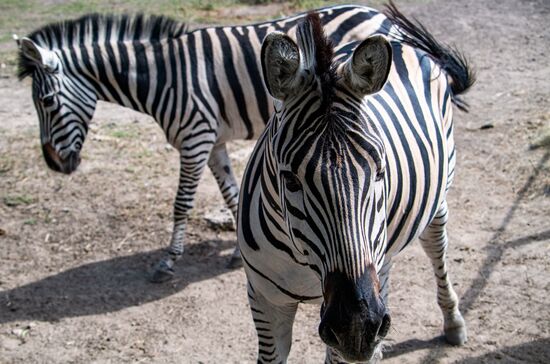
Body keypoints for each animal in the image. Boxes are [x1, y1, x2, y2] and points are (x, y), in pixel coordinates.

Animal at [15, 5, 398, 282]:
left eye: (46, 102)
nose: (54, 164)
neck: (165, 76)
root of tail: (375, 11)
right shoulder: (213, 144)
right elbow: (231, 194)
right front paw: (237, 252)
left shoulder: (195, 139)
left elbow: (181, 203)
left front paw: (168, 262)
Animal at [237, 3, 474, 364]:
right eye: (290, 179)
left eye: (379, 172)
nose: (358, 326)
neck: (304, 263)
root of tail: (399, 40)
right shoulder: (265, 300)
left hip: (436, 204)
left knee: (437, 252)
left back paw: (453, 322)